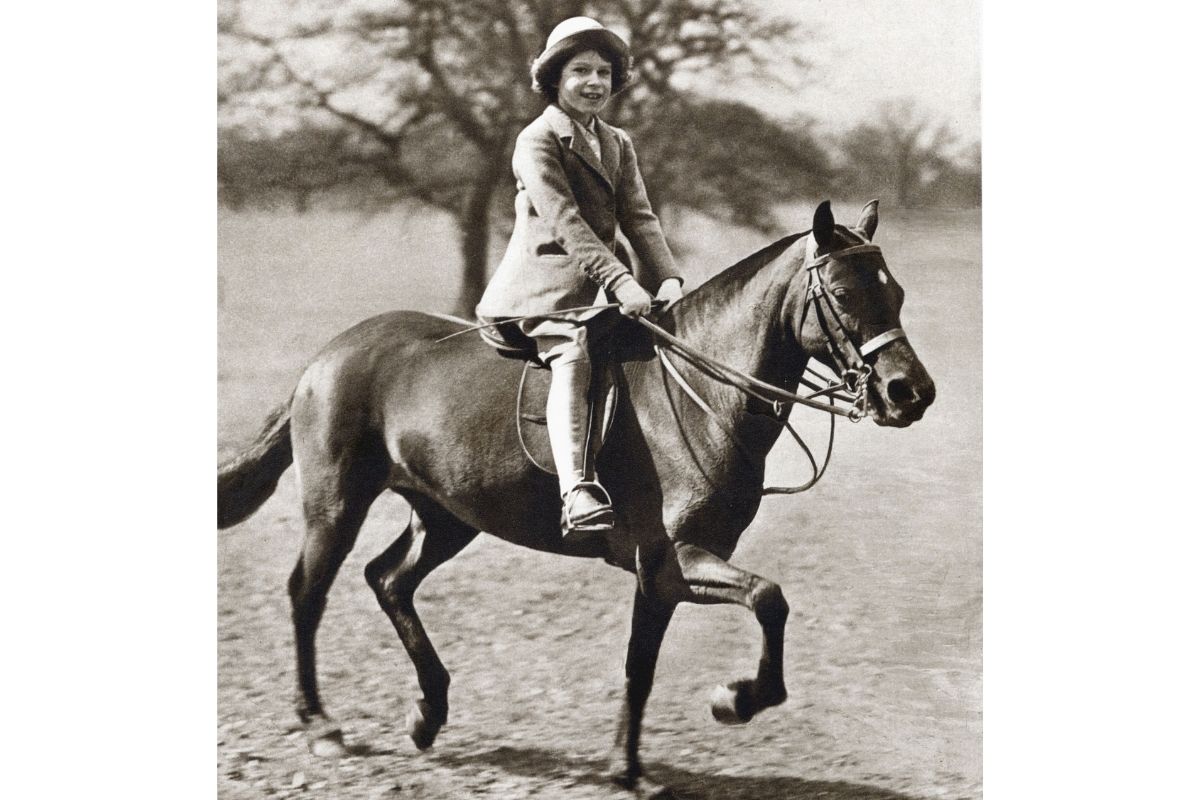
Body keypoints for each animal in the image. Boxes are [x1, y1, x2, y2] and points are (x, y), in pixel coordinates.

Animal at [223, 200, 936, 796]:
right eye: (842, 293)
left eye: (896, 291)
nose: (911, 394)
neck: (699, 394)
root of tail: (328, 355)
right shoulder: (675, 559)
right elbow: (765, 600)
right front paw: (731, 701)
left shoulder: (666, 574)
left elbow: (645, 665)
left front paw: (630, 765)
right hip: (337, 506)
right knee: (307, 594)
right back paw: (320, 725)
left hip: (448, 516)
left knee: (388, 579)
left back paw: (428, 711)